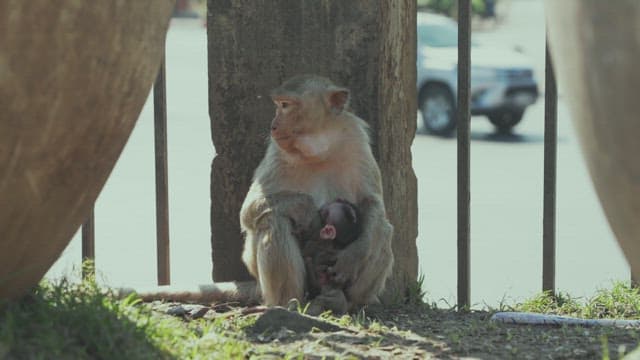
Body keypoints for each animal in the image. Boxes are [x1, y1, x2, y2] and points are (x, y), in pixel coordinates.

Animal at [238, 74, 392, 310]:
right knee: (274, 220)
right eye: (279, 104)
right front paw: (305, 208)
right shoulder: (276, 150)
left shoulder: (356, 140)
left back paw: (346, 302)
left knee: (383, 229)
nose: (273, 126)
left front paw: (356, 252)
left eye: (286, 105)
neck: (320, 148)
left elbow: (372, 202)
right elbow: (249, 210)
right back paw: (289, 303)